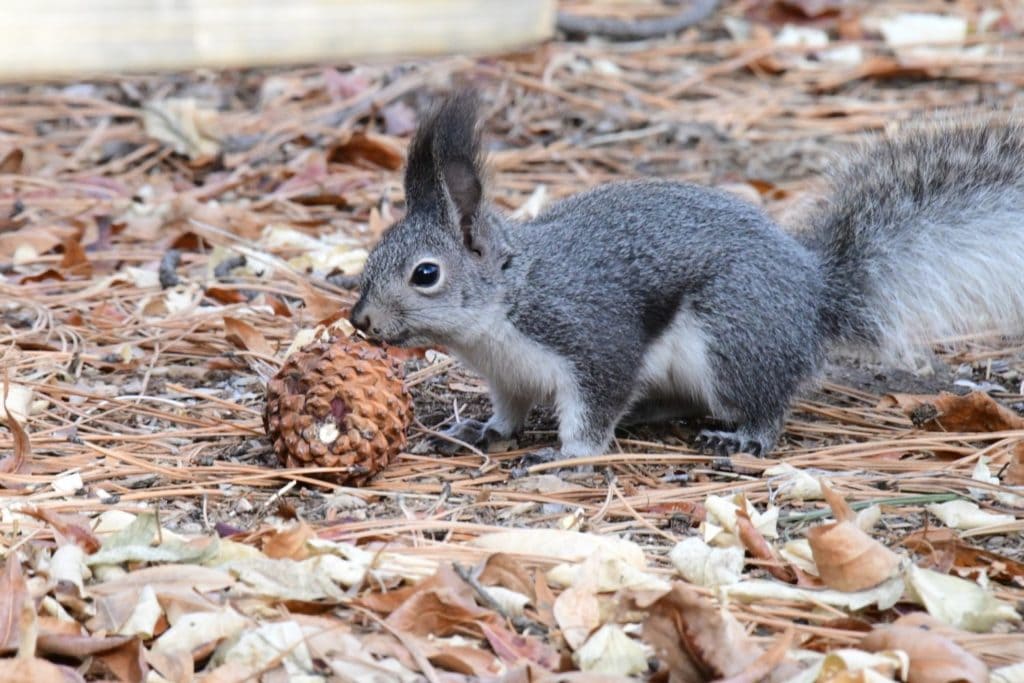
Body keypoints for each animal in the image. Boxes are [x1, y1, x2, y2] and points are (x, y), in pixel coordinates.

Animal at [350, 90, 1024, 459]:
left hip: (732, 338)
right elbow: (508, 412)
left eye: (426, 274)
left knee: (765, 404)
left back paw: (744, 438)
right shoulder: (508, 376)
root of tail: (813, 292)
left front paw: (562, 455)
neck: (507, 304)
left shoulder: (592, 340)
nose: (359, 321)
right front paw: (480, 430)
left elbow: (594, 408)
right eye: (373, 251)